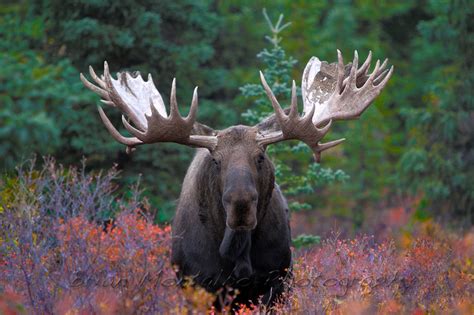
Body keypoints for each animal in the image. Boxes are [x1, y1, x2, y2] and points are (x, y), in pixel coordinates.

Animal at [80, 51, 392, 308]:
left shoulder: (275, 282)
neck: (236, 250)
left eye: (261, 156)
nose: (240, 204)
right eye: (216, 160)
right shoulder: (198, 284)